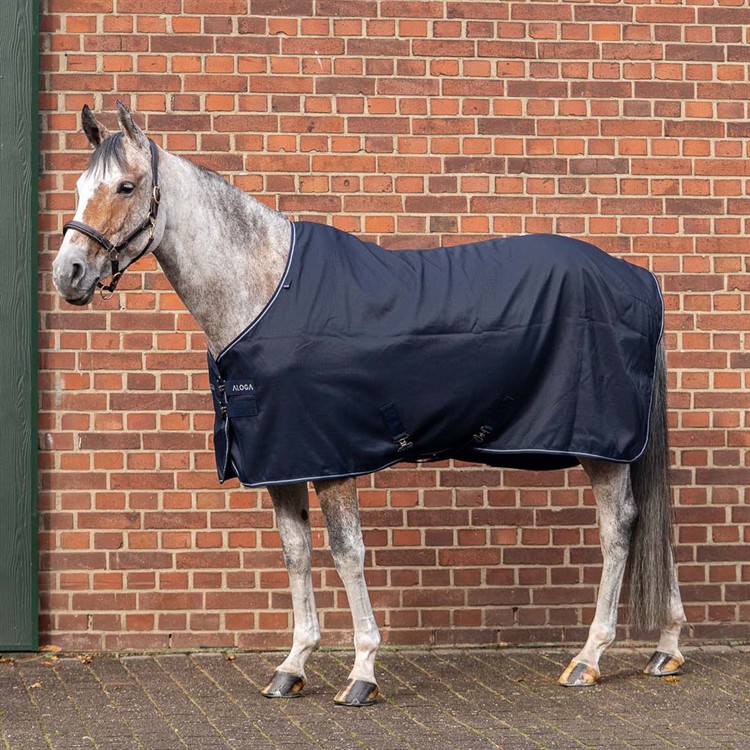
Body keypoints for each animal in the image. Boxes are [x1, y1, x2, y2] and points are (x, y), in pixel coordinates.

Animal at [52, 103, 687, 707]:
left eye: (126, 186)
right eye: (81, 186)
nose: (69, 274)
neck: (264, 290)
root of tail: (639, 278)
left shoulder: (331, 457)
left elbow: (346, 553)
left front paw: (361, 672)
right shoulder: (282, 459)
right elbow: (296, 553)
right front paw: (292, 666)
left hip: (601, 447)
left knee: (619, 529)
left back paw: (589, 657)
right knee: (652, 522)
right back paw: (667, 648)